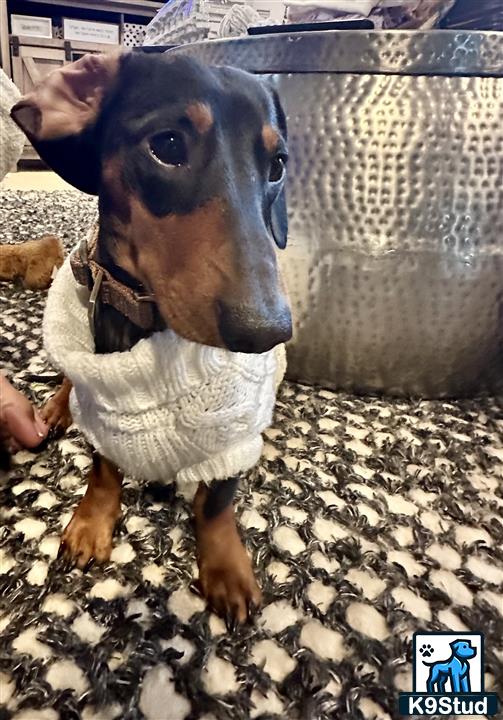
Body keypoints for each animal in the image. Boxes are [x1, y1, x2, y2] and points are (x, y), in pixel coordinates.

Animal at [11, 52, 292, 624]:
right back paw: (55, 408)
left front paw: (226, 567)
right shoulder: (100, 410)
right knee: (68, 382)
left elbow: (217, 501)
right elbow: (103, 468)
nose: (267, 330)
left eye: (277, 165)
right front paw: (91, 524)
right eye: (167, 145)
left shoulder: (235, 428)